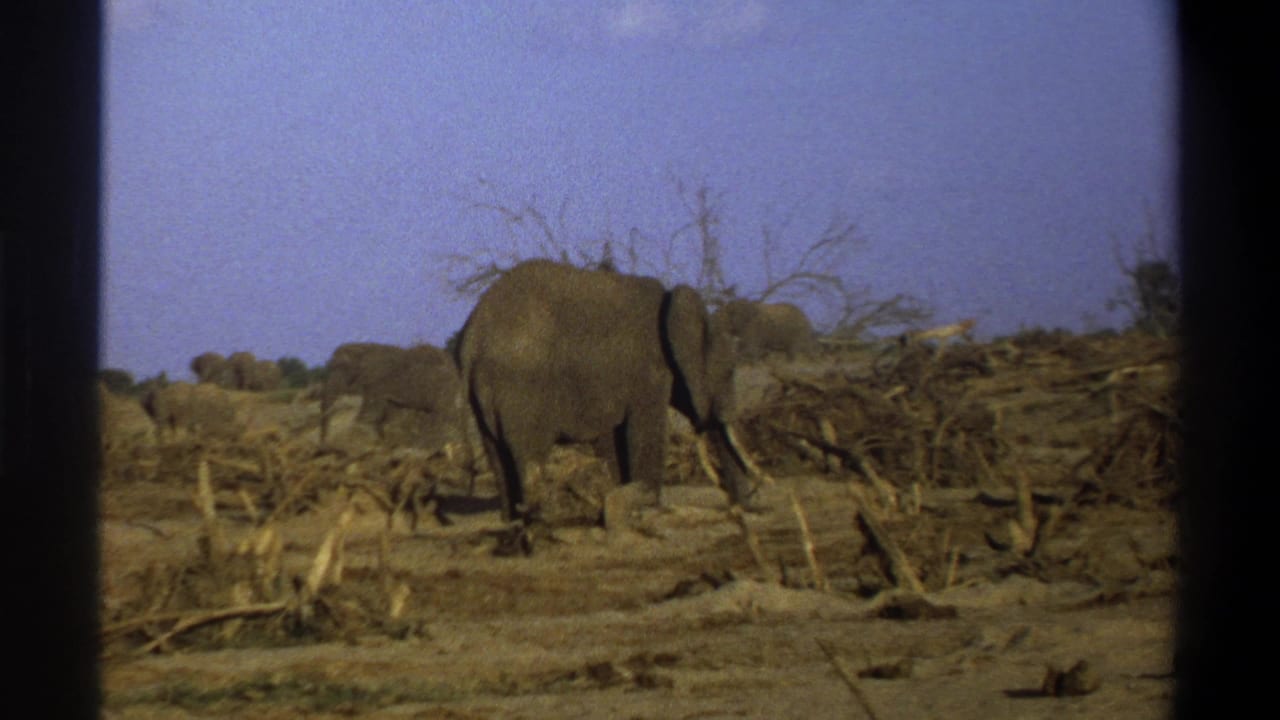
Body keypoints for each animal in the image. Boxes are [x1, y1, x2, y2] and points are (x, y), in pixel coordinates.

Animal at [320, 342, 468, 451]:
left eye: (339, 367)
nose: (325, 445)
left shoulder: (376, 383)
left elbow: (371, 411)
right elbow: (388, 413)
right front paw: (383, 440)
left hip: (440, 391)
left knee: (444, 416)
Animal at [456, 259, 751, 524]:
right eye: (728, 372)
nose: (740, 509)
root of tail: (471, 339)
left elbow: (614, 438)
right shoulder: (649, 370)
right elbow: (645, 429)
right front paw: (646, 503)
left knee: (498, 457)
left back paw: (514, 520)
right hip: (521, 389)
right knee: (529, 456)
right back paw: (541, 517)